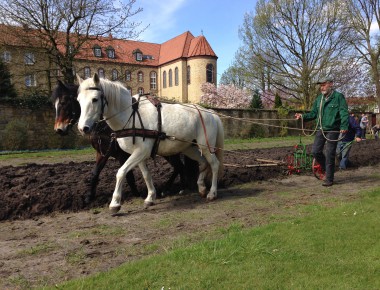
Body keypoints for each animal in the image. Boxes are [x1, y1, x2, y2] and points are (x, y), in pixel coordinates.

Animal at [51, 80, 197, 204]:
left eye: (64, 102)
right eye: (56, 104)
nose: (59, 129)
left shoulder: (123, 154)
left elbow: (128, 175)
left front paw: (135, 194)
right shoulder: (102, 153)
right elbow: (95, 173)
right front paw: (89, 196)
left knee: (179, 167)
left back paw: (173, 188)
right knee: (179, 167)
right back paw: (175, 188)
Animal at [77, 73, 224, 214]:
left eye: (95, 99)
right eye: (78, 100)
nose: (83, 128)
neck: (130, 114)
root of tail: (210, 112)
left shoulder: (140, 152)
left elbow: (121, 172)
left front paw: (115, 203)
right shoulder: (138, 154)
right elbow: (146, 175)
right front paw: (150, 197)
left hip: (206, 146)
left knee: (214, 164)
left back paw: (212, 193)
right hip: (189, 148)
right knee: (203, 163)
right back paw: (201, 187)